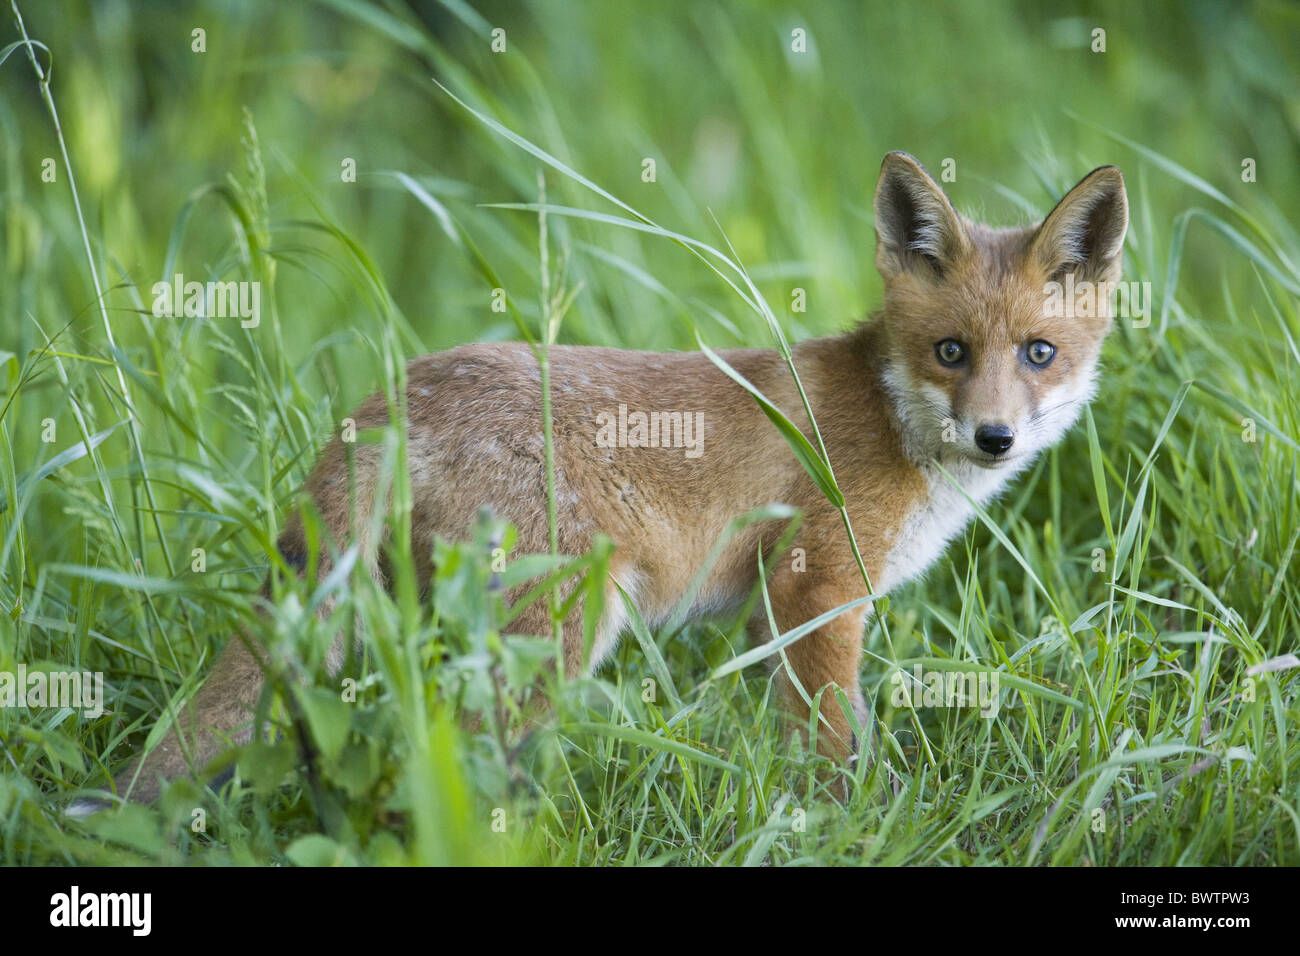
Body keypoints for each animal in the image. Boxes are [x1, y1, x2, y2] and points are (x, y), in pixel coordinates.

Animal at [102, 152, 1127, 806]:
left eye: (1038, 353)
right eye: (950, 351)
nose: (995, 437)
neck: (888, 418)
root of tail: (399, 390)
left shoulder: (771, 613)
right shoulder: (818, 590)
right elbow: (835, 744)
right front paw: (849, 825)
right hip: (558, 632)